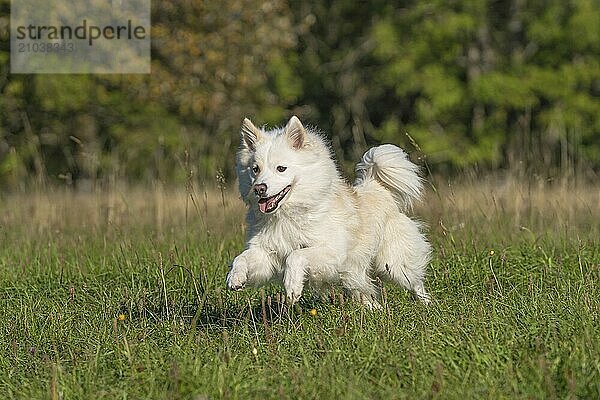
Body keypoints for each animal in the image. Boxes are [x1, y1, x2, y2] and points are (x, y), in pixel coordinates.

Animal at [226, 115, 432, 306]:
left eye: (281, 168)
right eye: (255, 169)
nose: (259, 188)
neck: (286, 214)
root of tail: (378, 188)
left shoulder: (331, 252)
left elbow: (296, 255)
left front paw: (292, 287)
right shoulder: (266, 253)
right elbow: (241, 257)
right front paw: (234, 277)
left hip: (393, 264)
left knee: (415, 282)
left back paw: (426, 304)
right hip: (354, 275)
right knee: (365, 292)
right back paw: (374, 309)